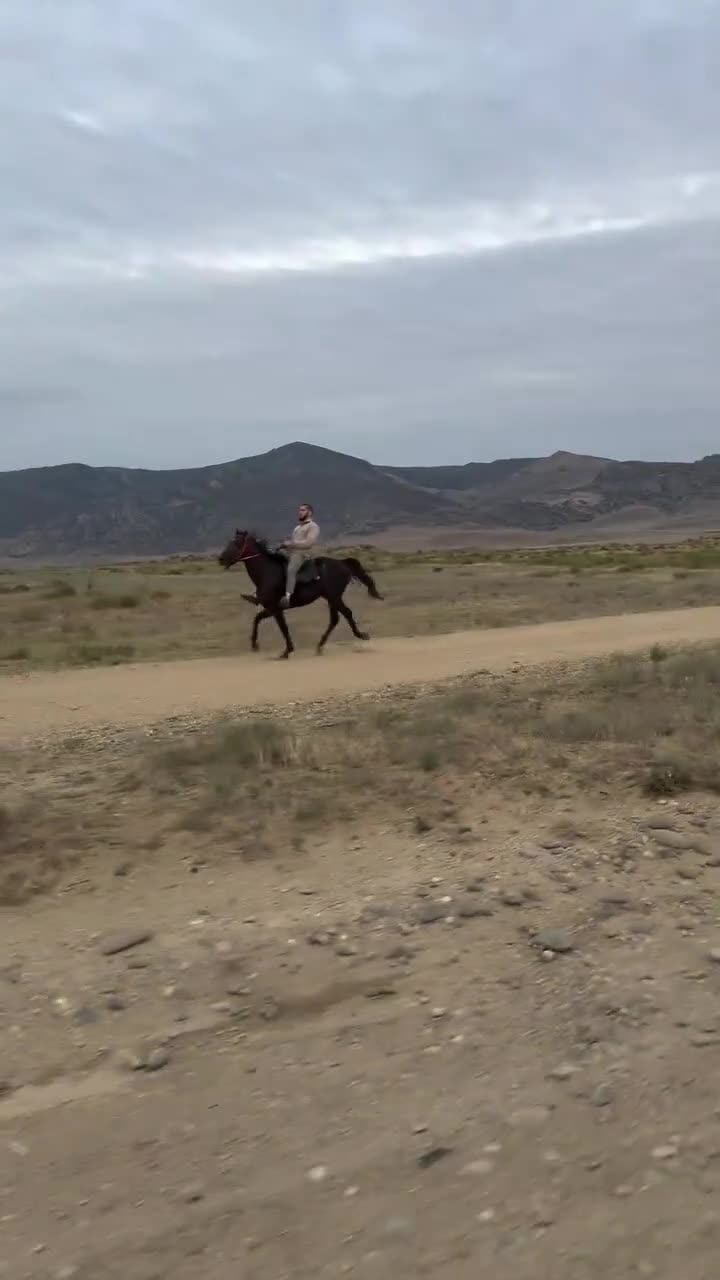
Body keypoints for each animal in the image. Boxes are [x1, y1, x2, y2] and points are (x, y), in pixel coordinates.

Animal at [218, 530, 383, 659]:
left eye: (237, 543)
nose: (221, 559)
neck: (267, 572)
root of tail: (342, 563)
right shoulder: (272, 608)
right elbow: (257, 619)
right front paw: (255, 645)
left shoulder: (275, 608)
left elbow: (282, 627)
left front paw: (286, 651)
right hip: (330, 598)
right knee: (335, 619)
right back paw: (319, 646)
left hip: (334, 596)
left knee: (346, 614)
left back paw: (361, 635)